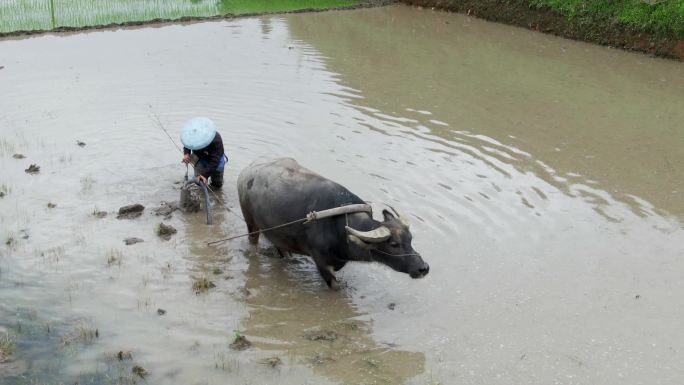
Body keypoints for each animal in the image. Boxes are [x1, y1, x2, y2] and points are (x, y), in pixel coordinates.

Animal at [235, 157, 428, 288]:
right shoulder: (321, 262)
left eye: (410, 239)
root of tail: (246, 171)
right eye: (394, 244)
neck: (339, 230)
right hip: (250, 222)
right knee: (253, 239)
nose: (423, 268)